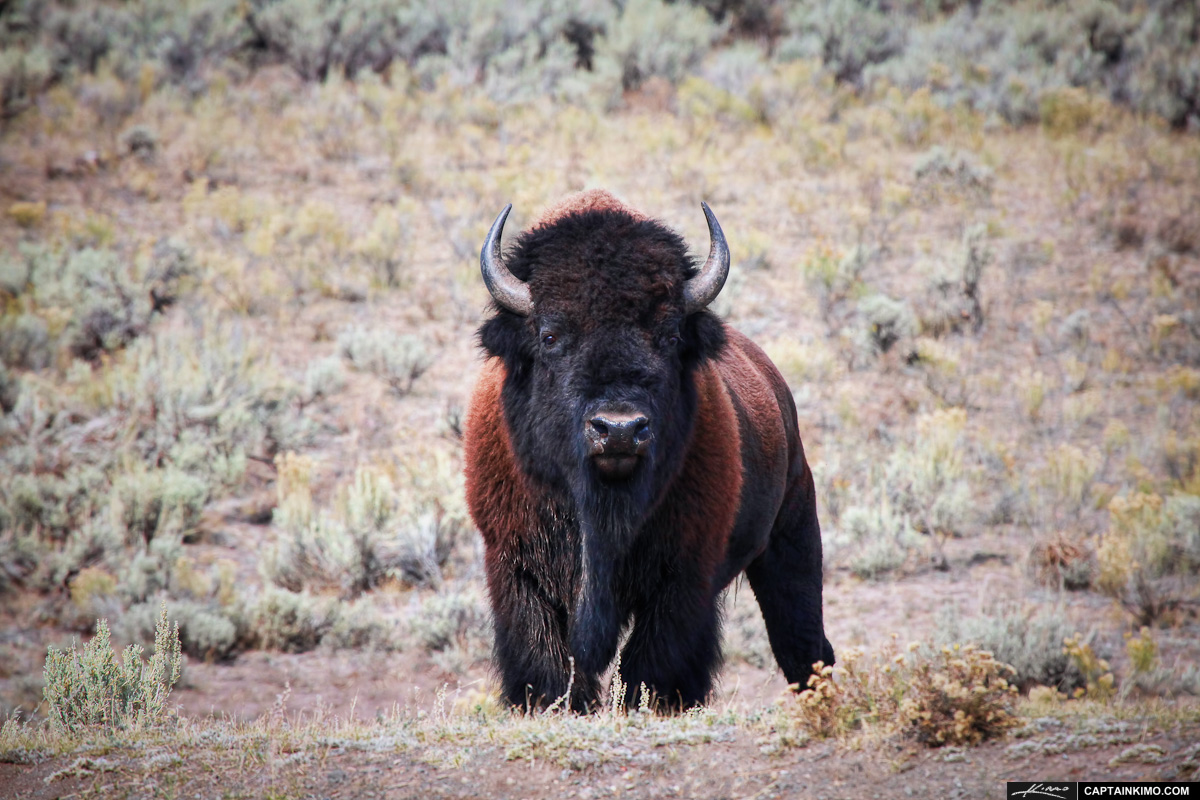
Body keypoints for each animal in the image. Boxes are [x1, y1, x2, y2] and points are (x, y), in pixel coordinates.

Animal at [460, 189, 835, 714]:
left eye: (670, 335)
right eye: (550, 335)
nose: (619, 430)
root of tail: (775, 385)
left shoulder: (682, 575)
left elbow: (652, 663)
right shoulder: (516, 568)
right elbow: (546, 659)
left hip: (792, 539)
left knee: (802, 643)